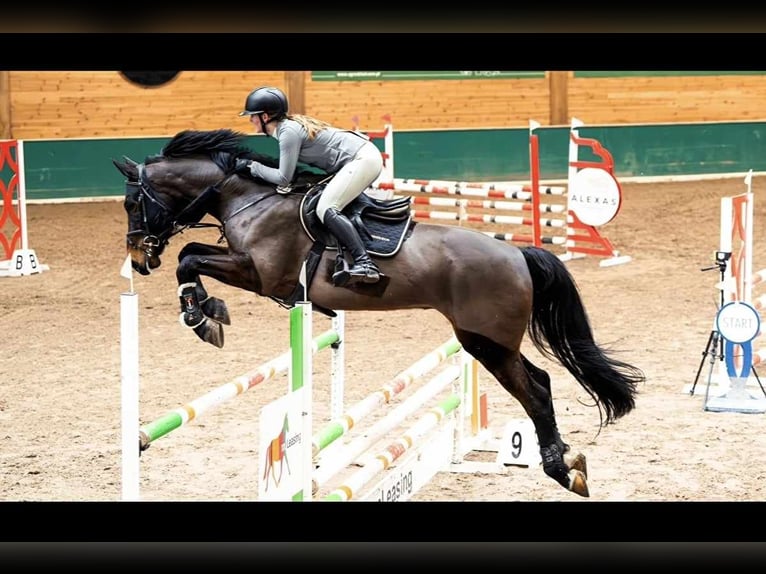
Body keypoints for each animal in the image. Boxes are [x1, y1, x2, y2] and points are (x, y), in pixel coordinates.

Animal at [112, 128, 648, 498]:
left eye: (132, 202)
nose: (138, 259)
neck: (248, 197)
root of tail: (517, 253)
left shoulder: (261, 276)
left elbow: (190, 258)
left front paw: (203, 315)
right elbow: (192, 254)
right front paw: (206, 311)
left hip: (486, 341)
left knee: (535, 392)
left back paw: (561, 471)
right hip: (486, 341)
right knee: (542, 381)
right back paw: (567, 464)